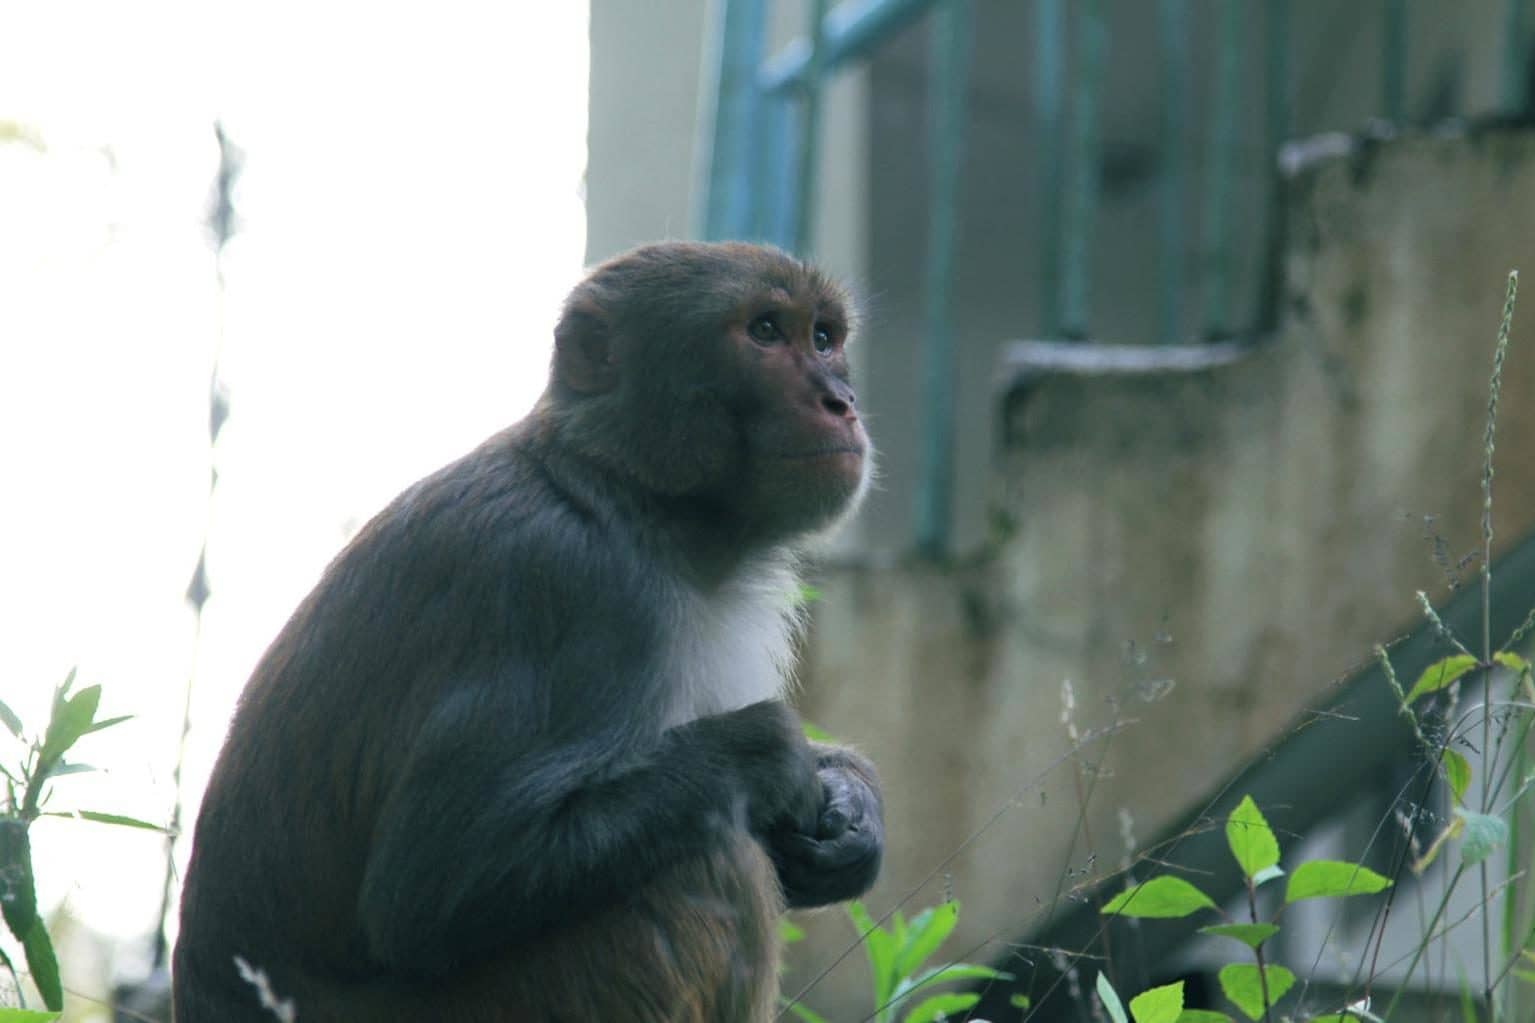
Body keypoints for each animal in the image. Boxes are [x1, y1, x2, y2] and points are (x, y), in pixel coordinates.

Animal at [172, 241, 884, 1023]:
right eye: (764, 331)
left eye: (824, 336)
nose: (841, 401)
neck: (634, 499)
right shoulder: (576, 589)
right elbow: (433, 890)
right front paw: (767, 751)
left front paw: (852, 815)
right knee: (703, 858)